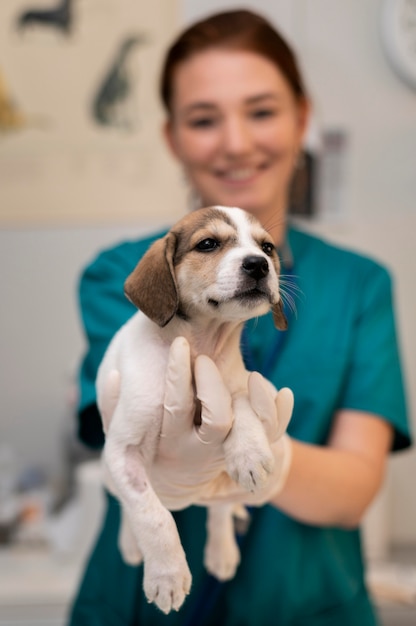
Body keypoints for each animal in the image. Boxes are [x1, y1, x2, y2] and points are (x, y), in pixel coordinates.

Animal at [98, 205, 286, 608]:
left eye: (266, 247)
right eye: (208, 244)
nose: (258, 264)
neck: (200, 348)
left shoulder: (232, 382)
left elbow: (240, 400)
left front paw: (249, 451)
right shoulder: (122, 452)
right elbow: (151, 516)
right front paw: (167, 575)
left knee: (219, 508)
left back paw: (222, 550)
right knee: (126, 505)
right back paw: (131, 544)